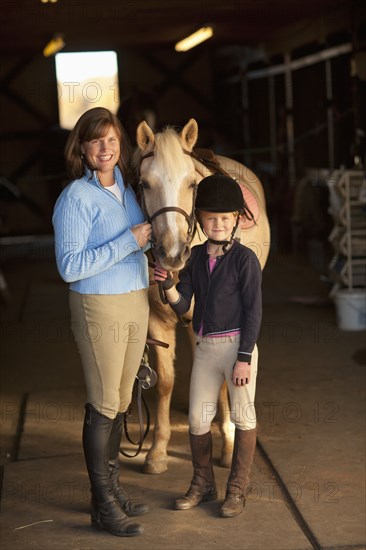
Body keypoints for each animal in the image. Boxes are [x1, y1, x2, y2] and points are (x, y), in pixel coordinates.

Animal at [136, 118, 270, 476]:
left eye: (193, 183)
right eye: (145, 183)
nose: (172, 254)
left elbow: (223, 379)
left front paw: (227, 445)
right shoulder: (157, 320)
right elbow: (165, 382)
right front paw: (157, 452)